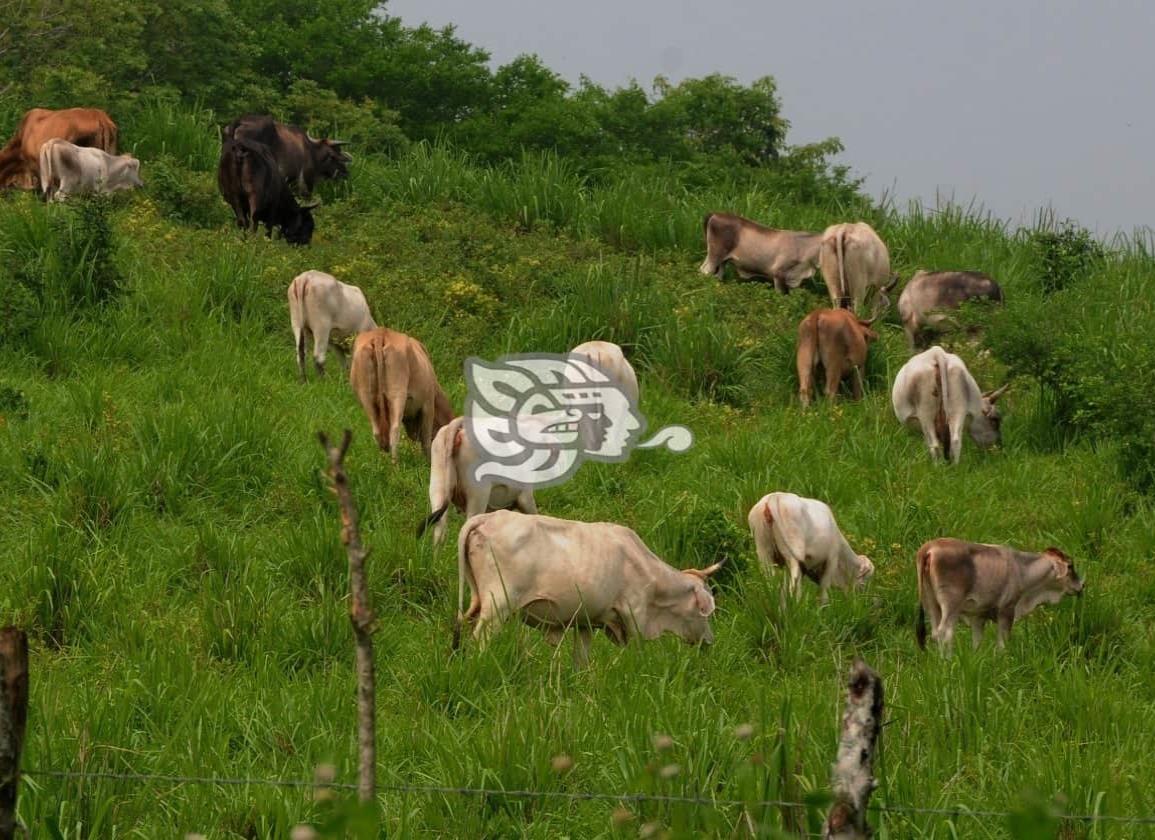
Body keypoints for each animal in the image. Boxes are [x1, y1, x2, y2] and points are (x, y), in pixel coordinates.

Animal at [346, 325, 450, 459]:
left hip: (366, 396)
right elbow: (426, 439)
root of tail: (381, 333)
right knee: (394, 430)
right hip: (397, 394)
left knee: (377, 432)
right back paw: (396, 463)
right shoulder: (428, 404)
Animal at [452, 508, 716, 665]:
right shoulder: (634, 616)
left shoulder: (586, 622)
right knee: (480, 637)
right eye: (705, 612)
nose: (710, 641)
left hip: (478, 601)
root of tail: (489, 517)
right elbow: (637, 653)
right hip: (498, 605)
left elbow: (581, 659)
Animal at [697, 211, 826, 294]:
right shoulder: (778, 273)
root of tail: (716, 214)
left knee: (718, 274)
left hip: (722, 259)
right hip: (716, 254)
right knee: (705, 271)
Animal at [914, 536, 1085, 651]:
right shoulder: (1007, 611)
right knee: (945, 634)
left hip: (931, 603)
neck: (1022, 569)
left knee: (935, 634)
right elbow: (1002, 645)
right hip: (951, 605)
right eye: (1070, 566)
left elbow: (977, 643)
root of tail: (930, 548)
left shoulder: (978, 616)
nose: (1082, 585)